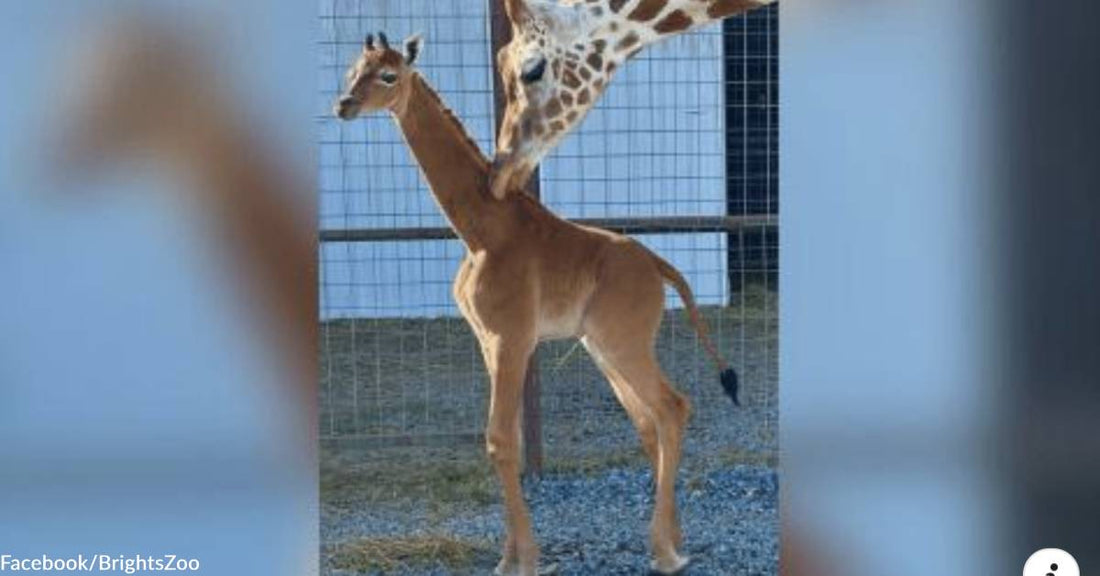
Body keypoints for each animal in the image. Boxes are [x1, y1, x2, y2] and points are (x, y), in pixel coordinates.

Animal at [335, 33, 740, 576]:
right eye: (352, 70)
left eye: (388, 75)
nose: (343, 105)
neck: (481, 231)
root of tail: (659, 266)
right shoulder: (488, 342)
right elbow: (507, 440)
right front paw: (511, 554)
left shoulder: (512, 338)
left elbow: (501, 440)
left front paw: (522, 559)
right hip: (602, 348)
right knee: (649, 422)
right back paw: (675, 540)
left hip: (624, 342)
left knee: (672, 407)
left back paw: (665, 550)